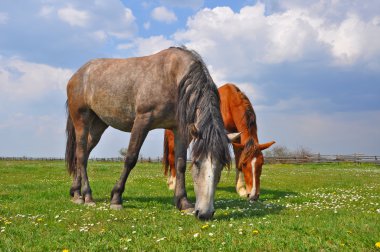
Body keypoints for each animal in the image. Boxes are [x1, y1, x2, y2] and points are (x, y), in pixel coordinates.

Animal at [65, 46, 232, 220]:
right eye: (197, 163)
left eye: (221, 166)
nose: (205, 213)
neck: (174, 78)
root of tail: (78, 74)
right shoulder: (142, 121)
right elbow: (130, 159)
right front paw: (116, 198)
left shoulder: (180, 129)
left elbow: (180, 164)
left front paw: (184, 203)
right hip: (81, 120)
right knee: (81, 155)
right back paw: (87, 196)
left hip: (99, 124)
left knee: (82, 154)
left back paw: (76, 193)